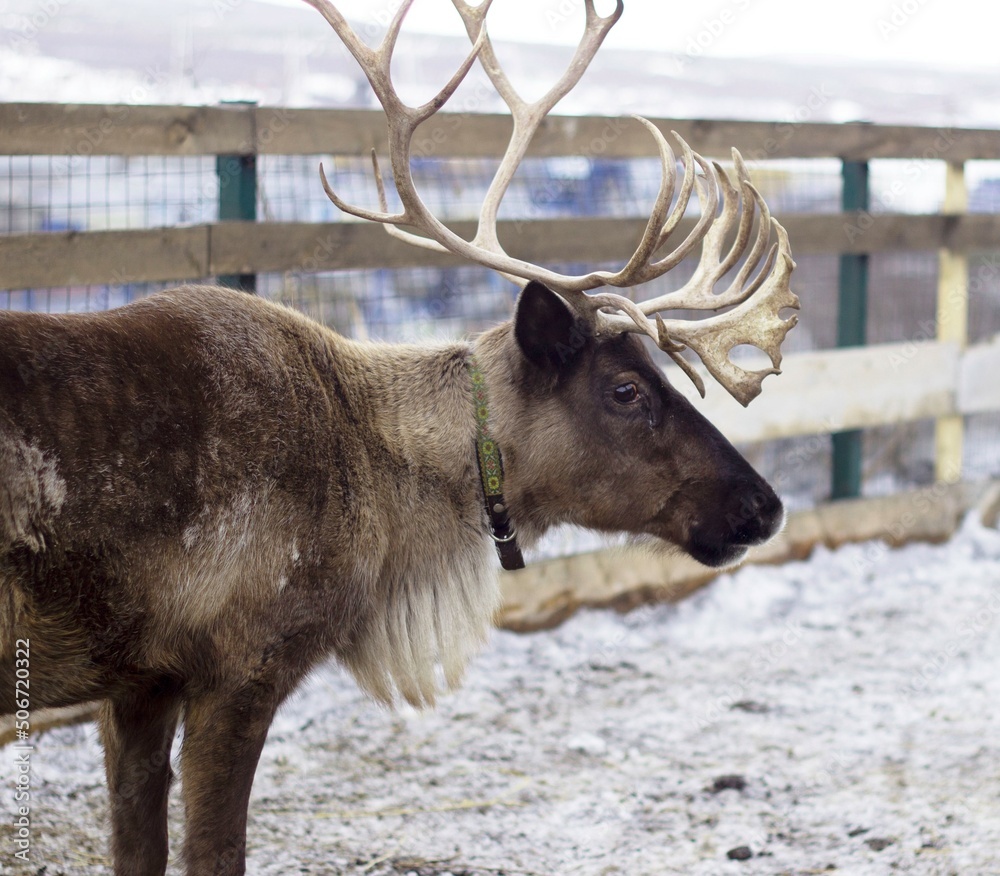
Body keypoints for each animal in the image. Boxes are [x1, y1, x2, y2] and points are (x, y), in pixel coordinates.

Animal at [0, 1, 798, 873]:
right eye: (626, 389)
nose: (764, 505)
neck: (381, 483)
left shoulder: (139, 682)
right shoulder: (240, 667)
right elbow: (215, 851)